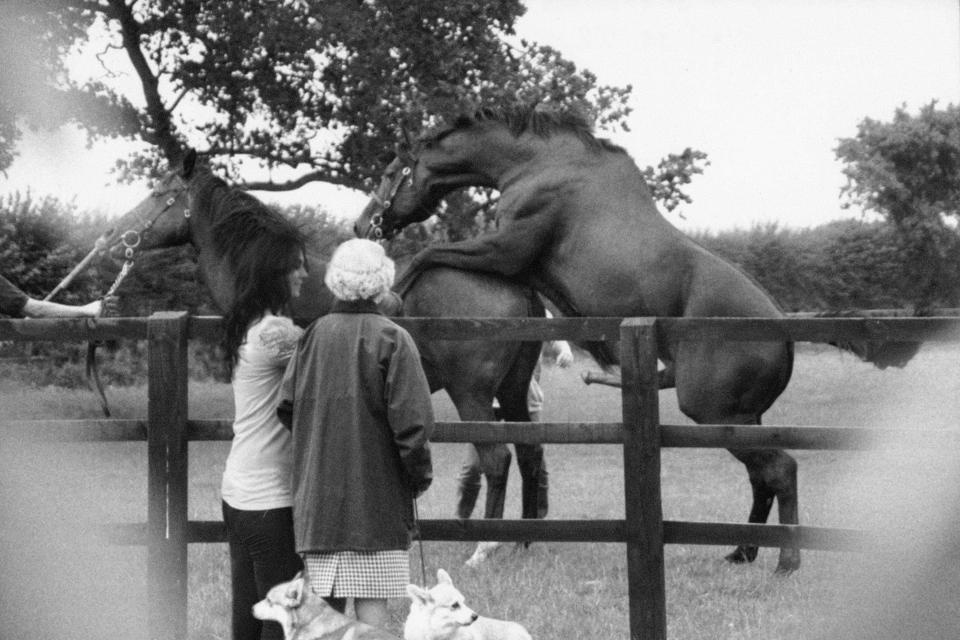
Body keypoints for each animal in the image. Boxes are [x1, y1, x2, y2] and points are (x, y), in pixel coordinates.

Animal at [352, 105, 916, 576]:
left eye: (389, 173)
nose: (362, 223)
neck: (540, 166)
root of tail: (782, 329)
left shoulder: (505, 250)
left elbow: (425, 256)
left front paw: (390, 296)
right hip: (739, 417)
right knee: (763, 477)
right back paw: (741, 552)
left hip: (711, 411)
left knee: (782, 469)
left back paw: (786, 562)